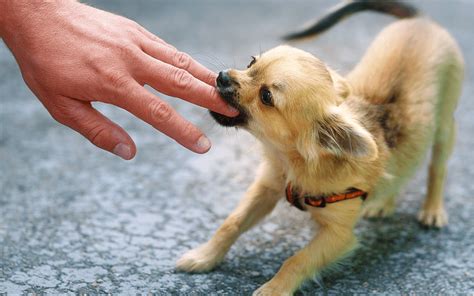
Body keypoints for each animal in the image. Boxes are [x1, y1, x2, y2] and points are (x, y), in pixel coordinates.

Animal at [176, 1, 462, 294]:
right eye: (251, 63)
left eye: (266, 96)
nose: (222, 77)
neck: (292, 161)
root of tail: (422, 21)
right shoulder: (267, 187)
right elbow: (230, 223)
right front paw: (204, 256)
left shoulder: (338, 235)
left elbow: (297, 260)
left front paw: (274, 288)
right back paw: (383, 203)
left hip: (444, 128)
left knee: (436, 169)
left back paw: (432, 210)